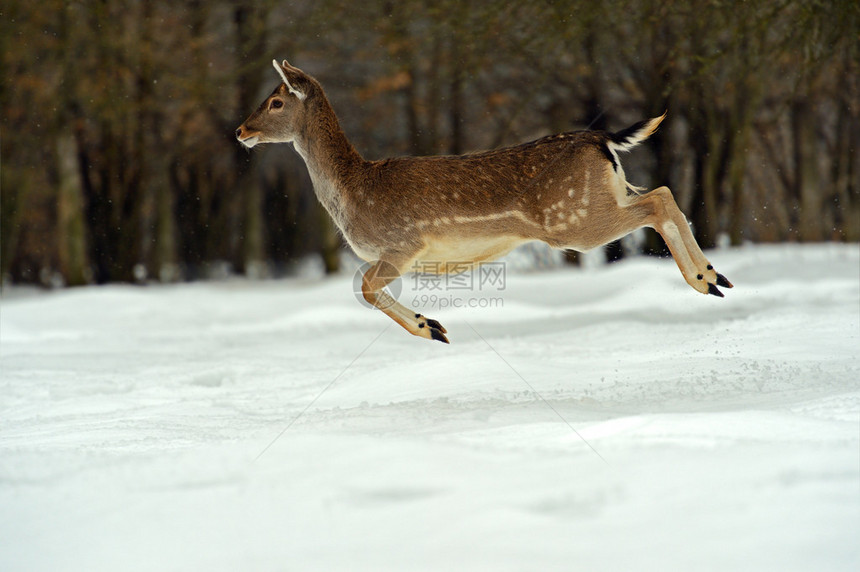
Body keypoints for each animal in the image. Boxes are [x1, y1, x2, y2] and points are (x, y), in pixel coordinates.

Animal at [235, 61, 732, 344]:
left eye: (276, 101)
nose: (241, 130)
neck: (353, 192)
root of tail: (603, 139)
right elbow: (364, 287)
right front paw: (433, 327)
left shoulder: (403, 244)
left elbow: (364, 287)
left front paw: (431, 328)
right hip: (607, 195)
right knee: (661, 193)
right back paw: (714, 278)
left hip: (571, 219)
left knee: (659, 202)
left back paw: (704, 279)